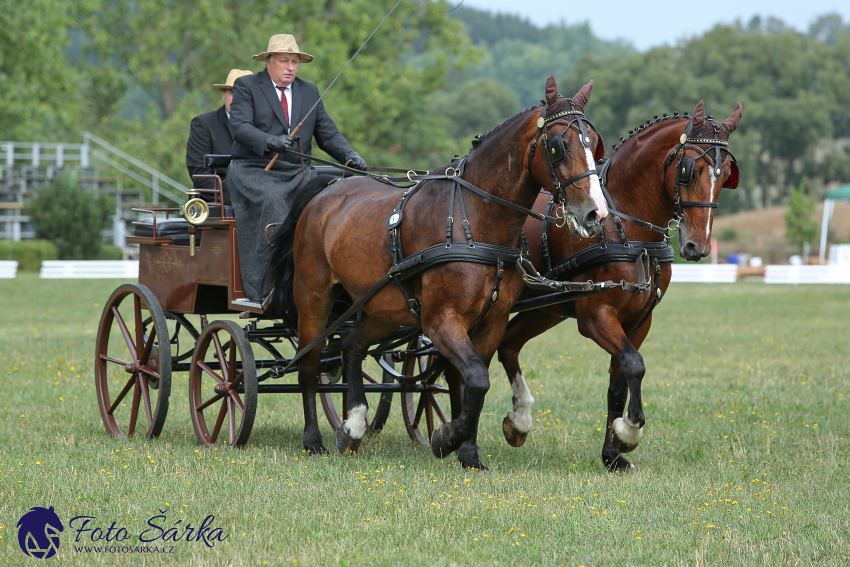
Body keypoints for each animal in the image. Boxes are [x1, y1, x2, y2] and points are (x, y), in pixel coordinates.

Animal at [268, 76, 608, 470]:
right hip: (313, 297)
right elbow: (475, 378)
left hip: (382, 307)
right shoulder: (441, 320)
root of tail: (326, 192)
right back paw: (313, 440)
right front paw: (447, 438)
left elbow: (472, 381)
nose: (595, 214)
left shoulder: (491, 322)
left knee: (352, 345)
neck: (475, 222)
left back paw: (353, 426)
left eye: (594, 143)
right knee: (309, 364)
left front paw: (468, 452)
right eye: (557, 146)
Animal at [494, 100, 740, 472]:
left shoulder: (638, 321)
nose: (697, 246)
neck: (625, 228)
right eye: (689, 170)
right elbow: (635, 365)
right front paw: (629, 432)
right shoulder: (596, 316)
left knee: (507, 344)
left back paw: (518, 421)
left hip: (545, 309)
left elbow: (619, 380)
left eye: (725, 174)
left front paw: (613, 453)